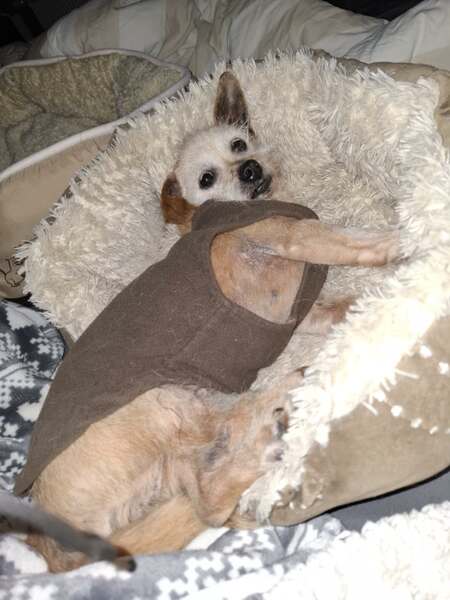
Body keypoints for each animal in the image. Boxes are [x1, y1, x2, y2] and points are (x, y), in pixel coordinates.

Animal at [21, 72, 400, 573]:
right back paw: (267, 438)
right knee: (208, 498)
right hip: (161, 404)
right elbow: (354, 241)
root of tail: (54, 550)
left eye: (239, 143)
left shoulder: (301, 315)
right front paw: (406, 237)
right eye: (206, 179)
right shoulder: (298, 237)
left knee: (216, 469)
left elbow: (340, 305)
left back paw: (279, 406)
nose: (250, 169)